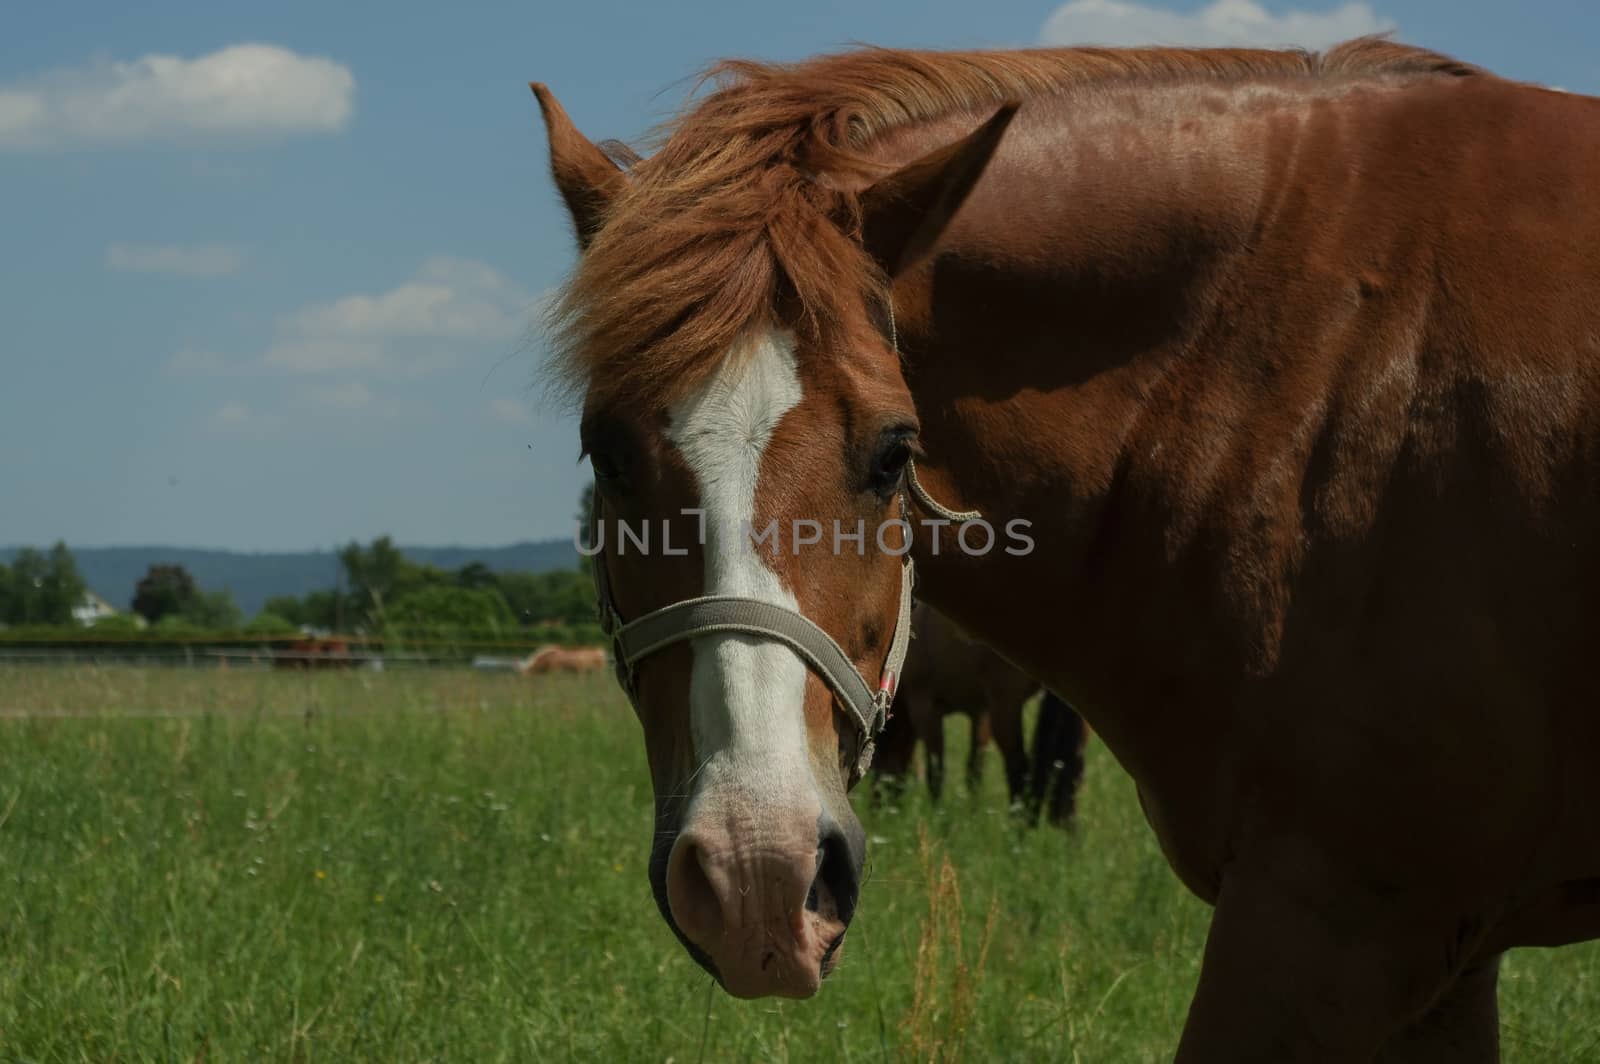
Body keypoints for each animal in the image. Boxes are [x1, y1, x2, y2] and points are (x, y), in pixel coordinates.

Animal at [870, 601, 1094, 816]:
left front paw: (937, 814)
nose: (878, 810)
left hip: (1006, 706)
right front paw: (973, 812)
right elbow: (974, 770)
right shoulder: (979, 713)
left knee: (1019, 767)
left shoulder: (925, 708)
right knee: (1073, 767)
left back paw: (1019, 824)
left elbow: (937, 771)